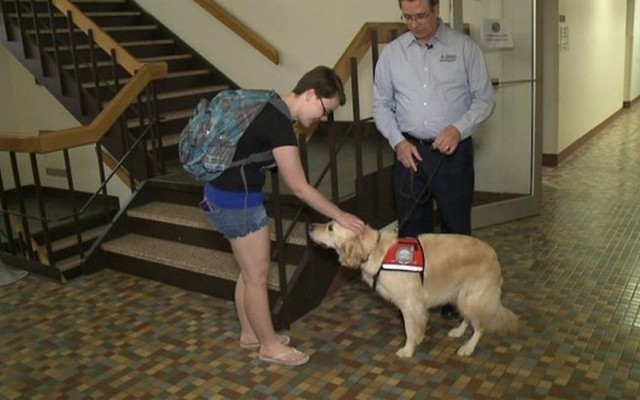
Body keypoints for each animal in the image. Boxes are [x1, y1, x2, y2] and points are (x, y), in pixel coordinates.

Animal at [308, 223, 516, 358]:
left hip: (472, 298)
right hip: (461, 295)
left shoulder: (410, 304)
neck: (376, 250)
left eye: (330, 227)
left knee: (480, 326)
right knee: (467, 318)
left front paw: (408, 350)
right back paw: (458, 331)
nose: (310, 226)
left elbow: (410, 330)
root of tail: (493, 255)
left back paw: (468, 347)